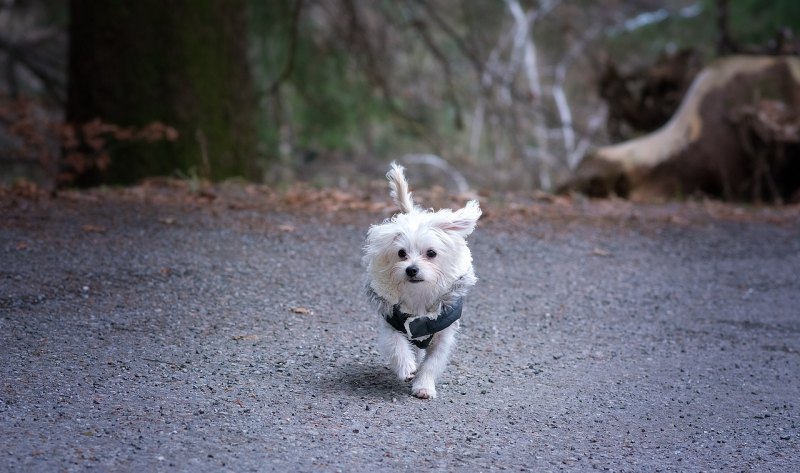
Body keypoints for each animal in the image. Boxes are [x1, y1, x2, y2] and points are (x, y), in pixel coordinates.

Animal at [364, 162, 482, 398]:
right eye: (401, 253)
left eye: (431, 253)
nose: (411, 270)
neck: (418, 296)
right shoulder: (392, 321)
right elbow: (397, 345)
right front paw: (406, 367)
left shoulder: (443, 336)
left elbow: (432, 363)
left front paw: (424, 386)